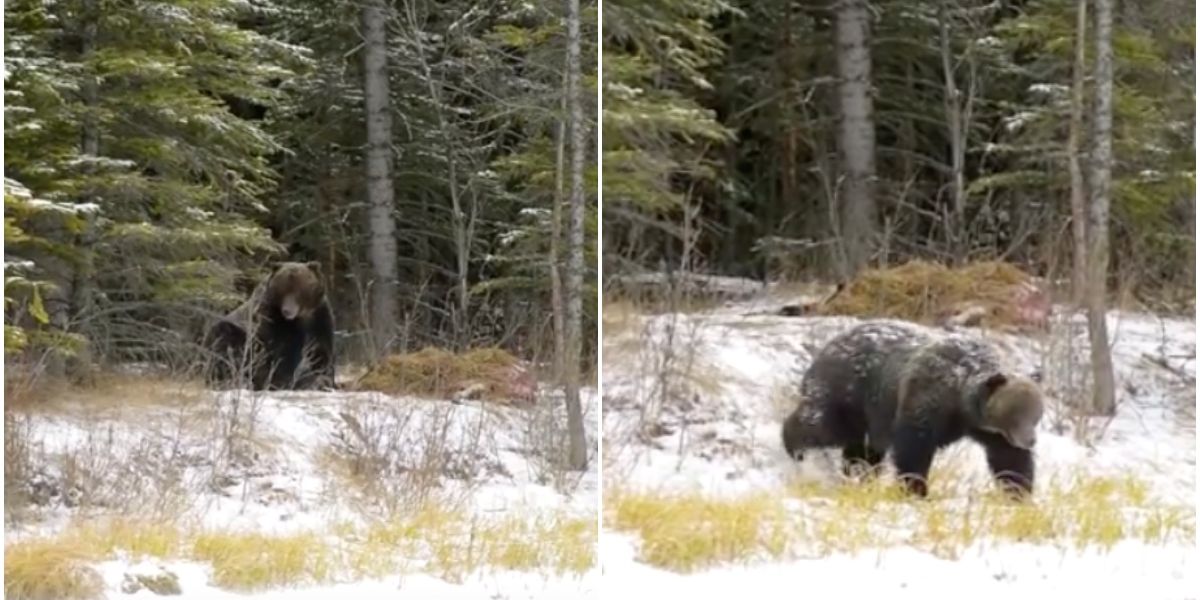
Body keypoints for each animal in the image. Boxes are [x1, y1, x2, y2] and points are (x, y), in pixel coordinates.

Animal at [203, 261, 336, 391]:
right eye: (283, 289)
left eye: (299, 290)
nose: (287, 311)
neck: (302, 315)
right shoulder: (273, 320)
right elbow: (282, 354)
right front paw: (288, 381)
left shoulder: (319, 317)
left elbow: (321, 350)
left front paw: (325, 379)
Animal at [781, 321, 1044, 498]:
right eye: (1016, 412)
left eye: (1036, 413)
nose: (1030, 440)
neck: (962, 402)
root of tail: (827, 346)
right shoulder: (926, 398)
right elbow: (914, 447)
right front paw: (916, 489)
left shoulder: (991, 431)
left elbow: (1009, 459)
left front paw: (1019, 492)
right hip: (849, 392)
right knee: (825, 426)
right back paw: (796, 449)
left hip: (870, 414)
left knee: (864, 449)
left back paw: (859, 475)